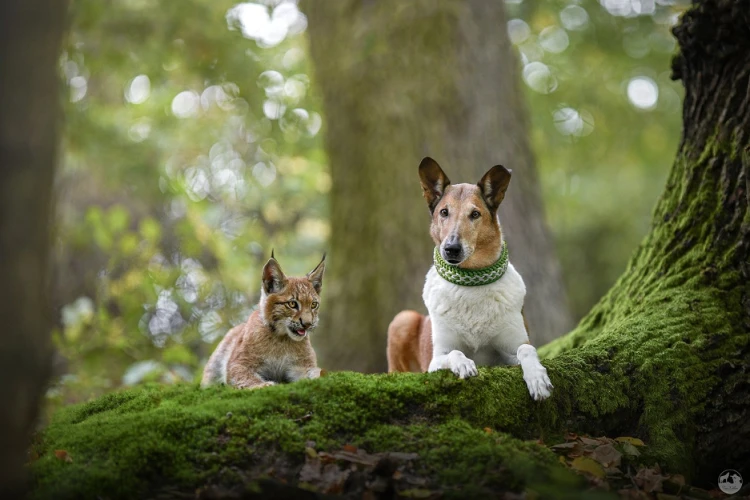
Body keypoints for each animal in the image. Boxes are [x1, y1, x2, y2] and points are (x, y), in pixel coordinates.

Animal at [390, 158, 556, 400]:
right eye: (444, 212)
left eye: (475, 214)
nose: (451, 249)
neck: (470, 281)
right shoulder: (435, 359)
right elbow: (455, 352)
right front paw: (464, 365)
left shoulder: (510, 349)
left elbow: (526, 349)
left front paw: (537, 379)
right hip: (402, 319)